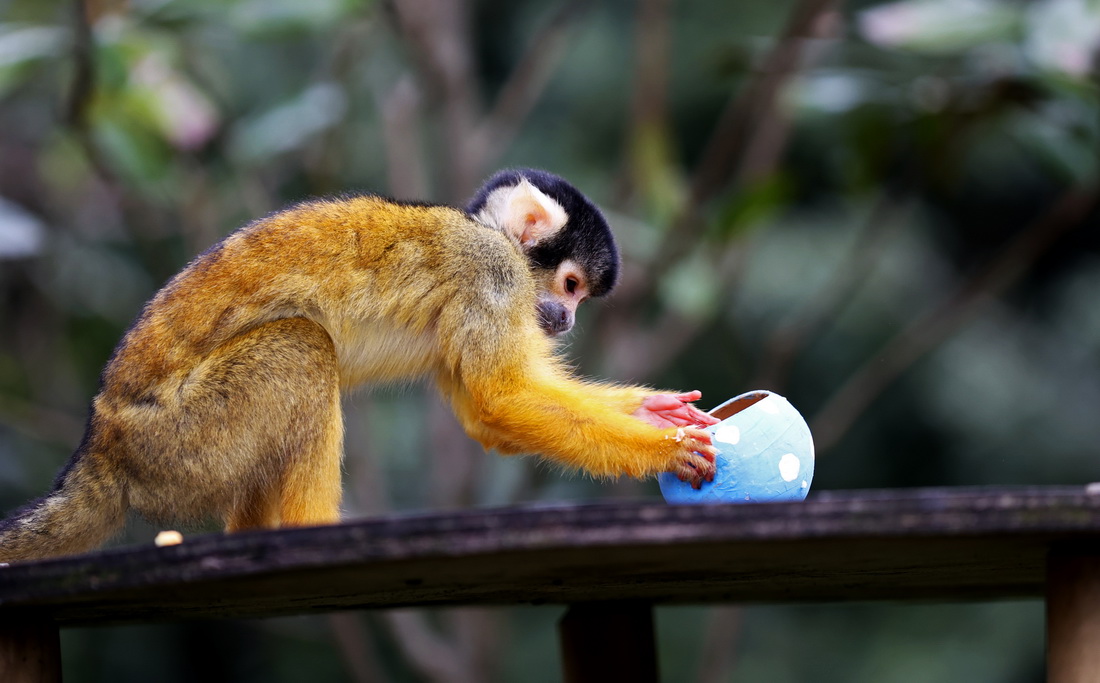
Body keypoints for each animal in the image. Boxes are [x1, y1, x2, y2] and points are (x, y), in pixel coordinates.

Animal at [0, 169, 717, 558]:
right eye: (569, 286)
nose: (567, 320)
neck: (489, 236)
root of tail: (101, 445)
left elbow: (485, 411)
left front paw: (654, 410)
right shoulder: (490, 276)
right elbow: (500, 400)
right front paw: (663, 446)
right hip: (180, 439)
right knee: (300, 348)